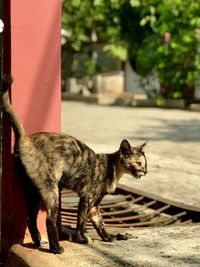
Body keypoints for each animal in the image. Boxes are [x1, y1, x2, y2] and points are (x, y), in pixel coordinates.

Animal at [2, 75, 148, 255]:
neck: (113, 168)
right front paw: (82, 239)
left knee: (30, 217)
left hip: (33, 190)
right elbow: (81, 221)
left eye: (146, 164)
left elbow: (100, 223)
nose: (145, 172)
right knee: (49, 220)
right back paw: (56, 248)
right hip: (51, 190)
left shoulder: (95, 205)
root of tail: (26, 138)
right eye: (139, 163)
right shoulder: (87, 197)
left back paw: (37, 241)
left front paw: (107, 237)